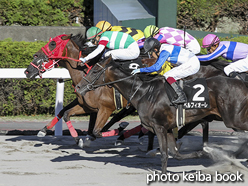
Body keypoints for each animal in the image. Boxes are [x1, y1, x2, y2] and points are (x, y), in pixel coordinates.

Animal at [75, 56, 248, 173]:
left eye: (95, 70)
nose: (78, 87)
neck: (143, 92)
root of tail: (243, 83)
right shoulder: (168, 128)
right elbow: (175, 154)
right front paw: (200, 153)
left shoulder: (159, 127)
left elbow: (165, 154)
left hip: (234, 119)